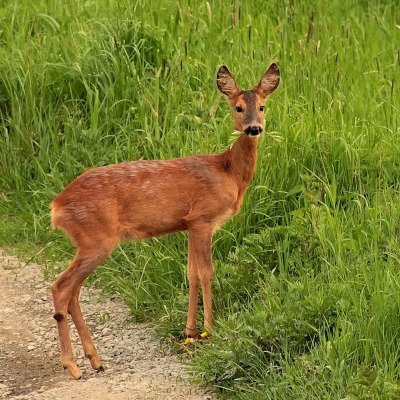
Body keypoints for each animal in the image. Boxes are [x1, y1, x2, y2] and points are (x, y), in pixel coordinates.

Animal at [50, 62, 280, 378]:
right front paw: (211, 329)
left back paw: (95, 359)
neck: (228, 173)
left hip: (88, 242)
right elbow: (207, 273)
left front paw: (190, 332)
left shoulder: (188, 224)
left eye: (262, 106)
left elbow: (191, 274)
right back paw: (73, 366)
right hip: (96, 238)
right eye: (238, 107)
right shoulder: (203, 218)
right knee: (61, 287)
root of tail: (56, 206)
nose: (254, 128)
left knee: (73, 292)